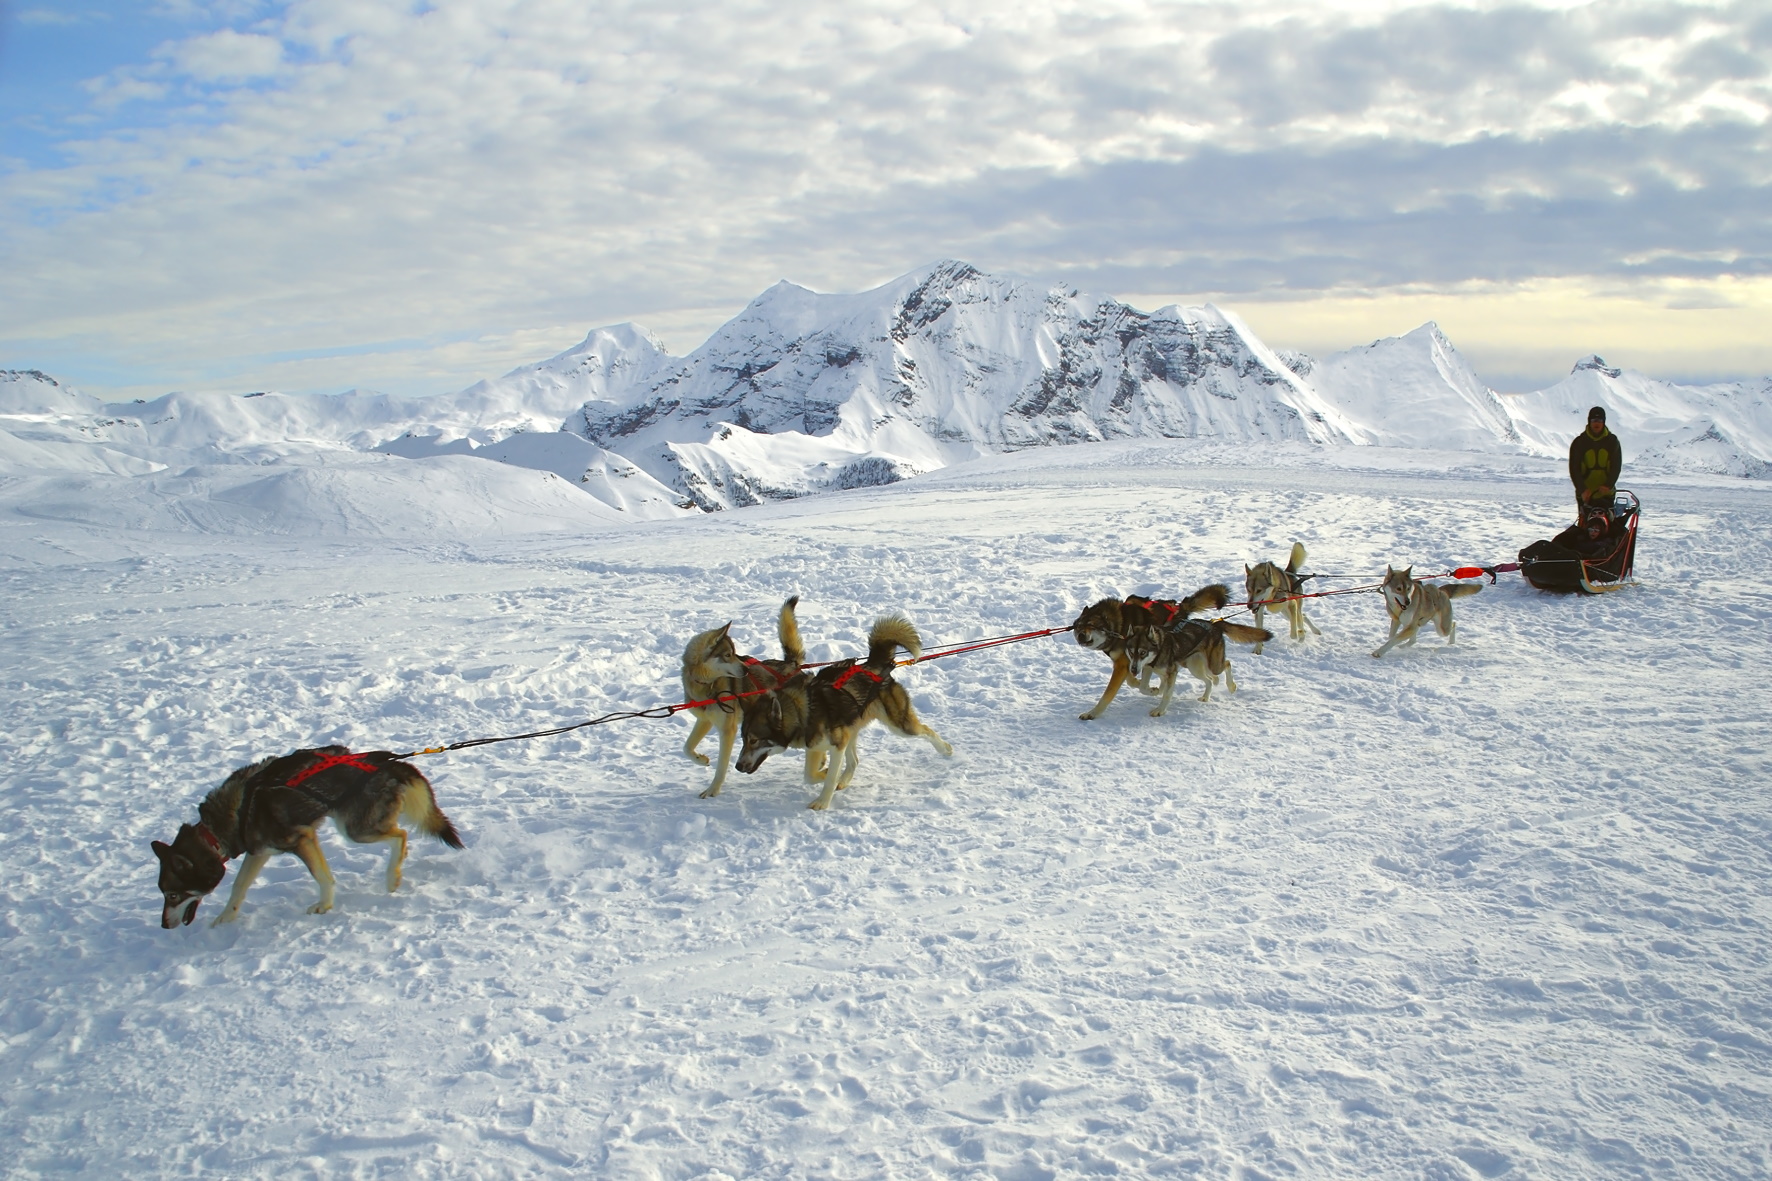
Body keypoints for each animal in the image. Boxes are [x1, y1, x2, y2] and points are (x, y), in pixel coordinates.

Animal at [150, 744, 464, 929]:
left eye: (173, 894)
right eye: (164, 894)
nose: (164, 925)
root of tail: (385, 762)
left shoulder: (302, 839)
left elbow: (322, 876)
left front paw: (324, 905)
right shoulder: (259, 851)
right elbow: (238, 886)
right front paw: (227, 916)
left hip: (355, 830)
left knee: (400, 834)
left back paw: (392, 876)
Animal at [680, 592, 808, 794]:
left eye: (734, 653)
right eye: (727, 655)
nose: (746, 669)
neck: (706, 686)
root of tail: (791, 665)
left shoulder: (728, 729)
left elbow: (721, 767)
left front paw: (713, 790)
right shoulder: (705, 720)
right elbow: (687, 748)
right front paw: (701, 759)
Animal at [733, 606, 956, 808]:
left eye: (753, 740)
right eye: (743, 739)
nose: (737, 765)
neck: (803, 712)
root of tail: (874, 664)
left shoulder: (837, 744)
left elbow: (828, 776)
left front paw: (823, 801)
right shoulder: (816, 746)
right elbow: (810, 775)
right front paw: (825, 775)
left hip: (900, 725)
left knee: (925, 730)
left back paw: (945, 749)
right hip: (852, 729)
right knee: (855, 761)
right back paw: (844, 779)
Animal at [1077, 581, 1233, 712]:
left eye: (1091, 624)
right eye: (1077, 626)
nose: (1080, 635)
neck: (1117, 626)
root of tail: (1179, 607)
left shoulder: (1126, 663)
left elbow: (1114, 690)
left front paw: (1093, 713)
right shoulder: (1131, 662)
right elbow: (1135, 681)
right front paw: (1147, 687)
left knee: (1224, 664)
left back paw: (1228, 684)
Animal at [1126, 610, 1268, 712]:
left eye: (1143, 652)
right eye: (1131, 652)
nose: (1133, 669)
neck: (1160, 648)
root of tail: (1213, 624)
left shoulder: (1171, 673)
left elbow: (1166, 693)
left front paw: (1159, 710)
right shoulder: (1149, 668)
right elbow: (1144, 688)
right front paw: (1154, 691)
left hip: (1212, 665)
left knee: (1227, 664)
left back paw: (1231, 686)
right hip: (1193, 667)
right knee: (1210, 680)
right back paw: (1206, 696)